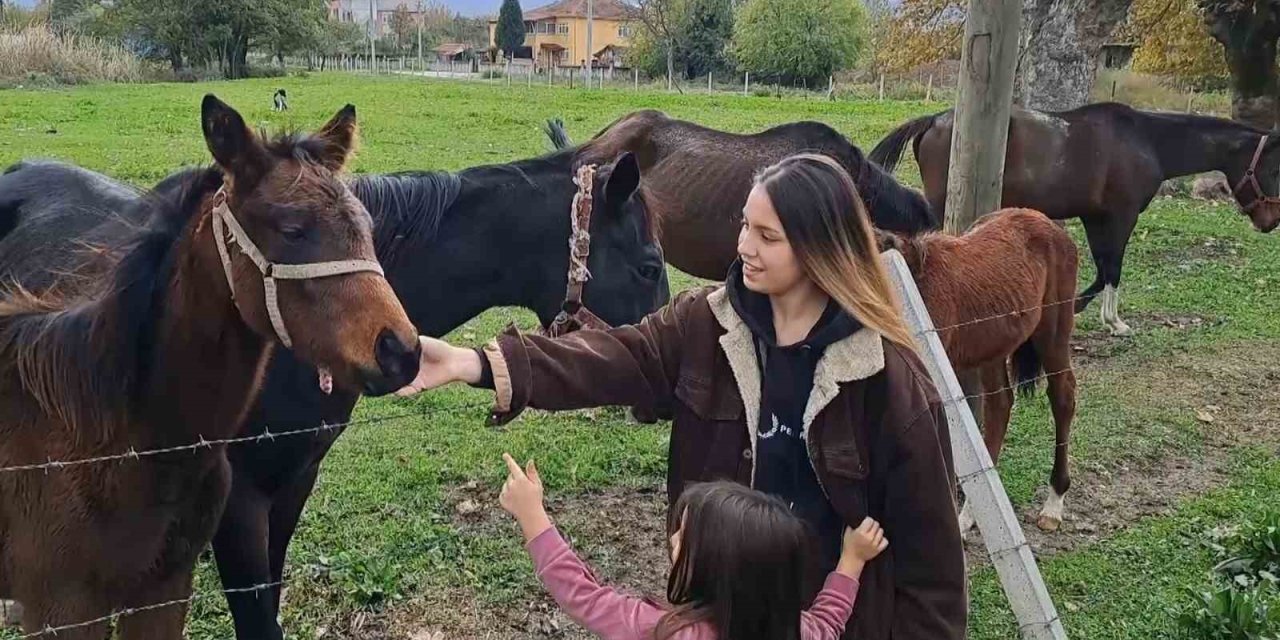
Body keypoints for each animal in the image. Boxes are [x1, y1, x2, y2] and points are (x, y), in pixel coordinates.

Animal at [870, 102, 1280, 337]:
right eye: (1272, 167)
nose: (1270, 221)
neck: (1145, 141)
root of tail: (935, 120)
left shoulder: (1095, 217)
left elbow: (1101, 268)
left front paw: (1082, 309)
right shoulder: (1121, 216)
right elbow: (1112, 268)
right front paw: (1114, 322)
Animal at [875, 208, 1075, 529]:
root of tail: (1046, 221)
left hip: (1053, 332)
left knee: (1063, 396)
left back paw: (1053, 504)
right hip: (994, 345)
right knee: (1000, 405)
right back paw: (969, 515)